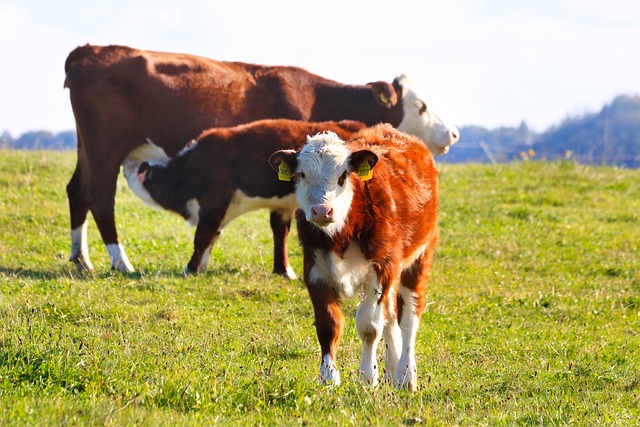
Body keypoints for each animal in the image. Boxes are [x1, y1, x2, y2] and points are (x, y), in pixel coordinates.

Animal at [268, 123, 440, 392]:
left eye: (342, 177)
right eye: (302, 175)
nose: (322, 211)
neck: (340, 234)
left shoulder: (382, 267)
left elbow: (369, 326)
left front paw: (368, 377)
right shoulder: (314, 270)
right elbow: (328, 325)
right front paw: (328, 377)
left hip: (419, 257)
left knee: (409, 317)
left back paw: (406, 375)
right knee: (391, 315)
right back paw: (393, 371)